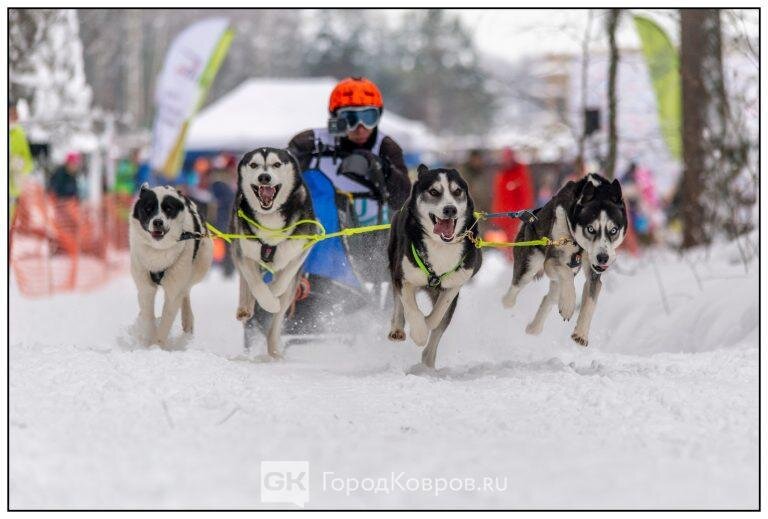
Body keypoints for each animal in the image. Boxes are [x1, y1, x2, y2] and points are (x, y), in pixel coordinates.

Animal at [129, 185, 213, 348]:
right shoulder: (145, 287)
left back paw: (187, 320)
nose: (158, 222)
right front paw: (148, 340)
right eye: (148, 209)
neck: (158, 250)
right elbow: (148, 316)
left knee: (186, 290)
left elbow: (166, 320)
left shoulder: (173, 291)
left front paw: (156, 347)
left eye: (168, 209)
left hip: (201, 263)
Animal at [231, 146, 316, 358]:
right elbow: (255, 284)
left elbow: (284, 278)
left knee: (277, 321)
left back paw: (275, 350)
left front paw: (273, 290)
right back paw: (245, 306)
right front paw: (266, 300)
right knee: (246, 282)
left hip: (292, 293)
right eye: (254, 165)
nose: (264, 177)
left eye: (276, 164)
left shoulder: (303, 248)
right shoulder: (244, 253)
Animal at [390, 165, 480, 368]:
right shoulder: (404, 278)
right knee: (399, 303)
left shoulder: (456, 283)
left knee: (435, 338)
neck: (440, 245)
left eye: (457, 191)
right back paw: (397, 328)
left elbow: (438, 313)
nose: (450, 209)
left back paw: (428, 365)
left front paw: (427, 323)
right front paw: (419, 333)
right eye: (433, 192)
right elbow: (411, 308)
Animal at [504, 173, 624, 348]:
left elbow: (590, 301)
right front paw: (568, 305)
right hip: (529, 266)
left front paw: (581, 333)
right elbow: (565, 274)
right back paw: (507, 307)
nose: (603, 258)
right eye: (590, 229)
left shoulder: (593, 275)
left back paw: (534, 328)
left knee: (550, 296)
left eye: (613, 230)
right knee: (513, 292)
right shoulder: (553, 260)